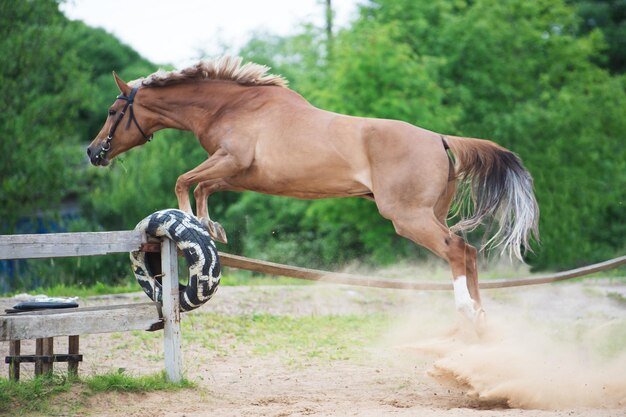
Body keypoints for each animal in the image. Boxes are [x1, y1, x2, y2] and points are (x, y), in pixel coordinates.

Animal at [86, 54, 536, 324]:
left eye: (112, 111)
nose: (93, 152)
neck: (230, 106)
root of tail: (440, 139)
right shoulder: (237, 174)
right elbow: (201, 187)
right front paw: (211, 227)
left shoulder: (233, 161)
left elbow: (184, 181)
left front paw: (194, 226)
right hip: (431, 215)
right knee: (470, 253)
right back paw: (480, 315)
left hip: (408, 218)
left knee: (457, 250)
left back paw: (465, 309)